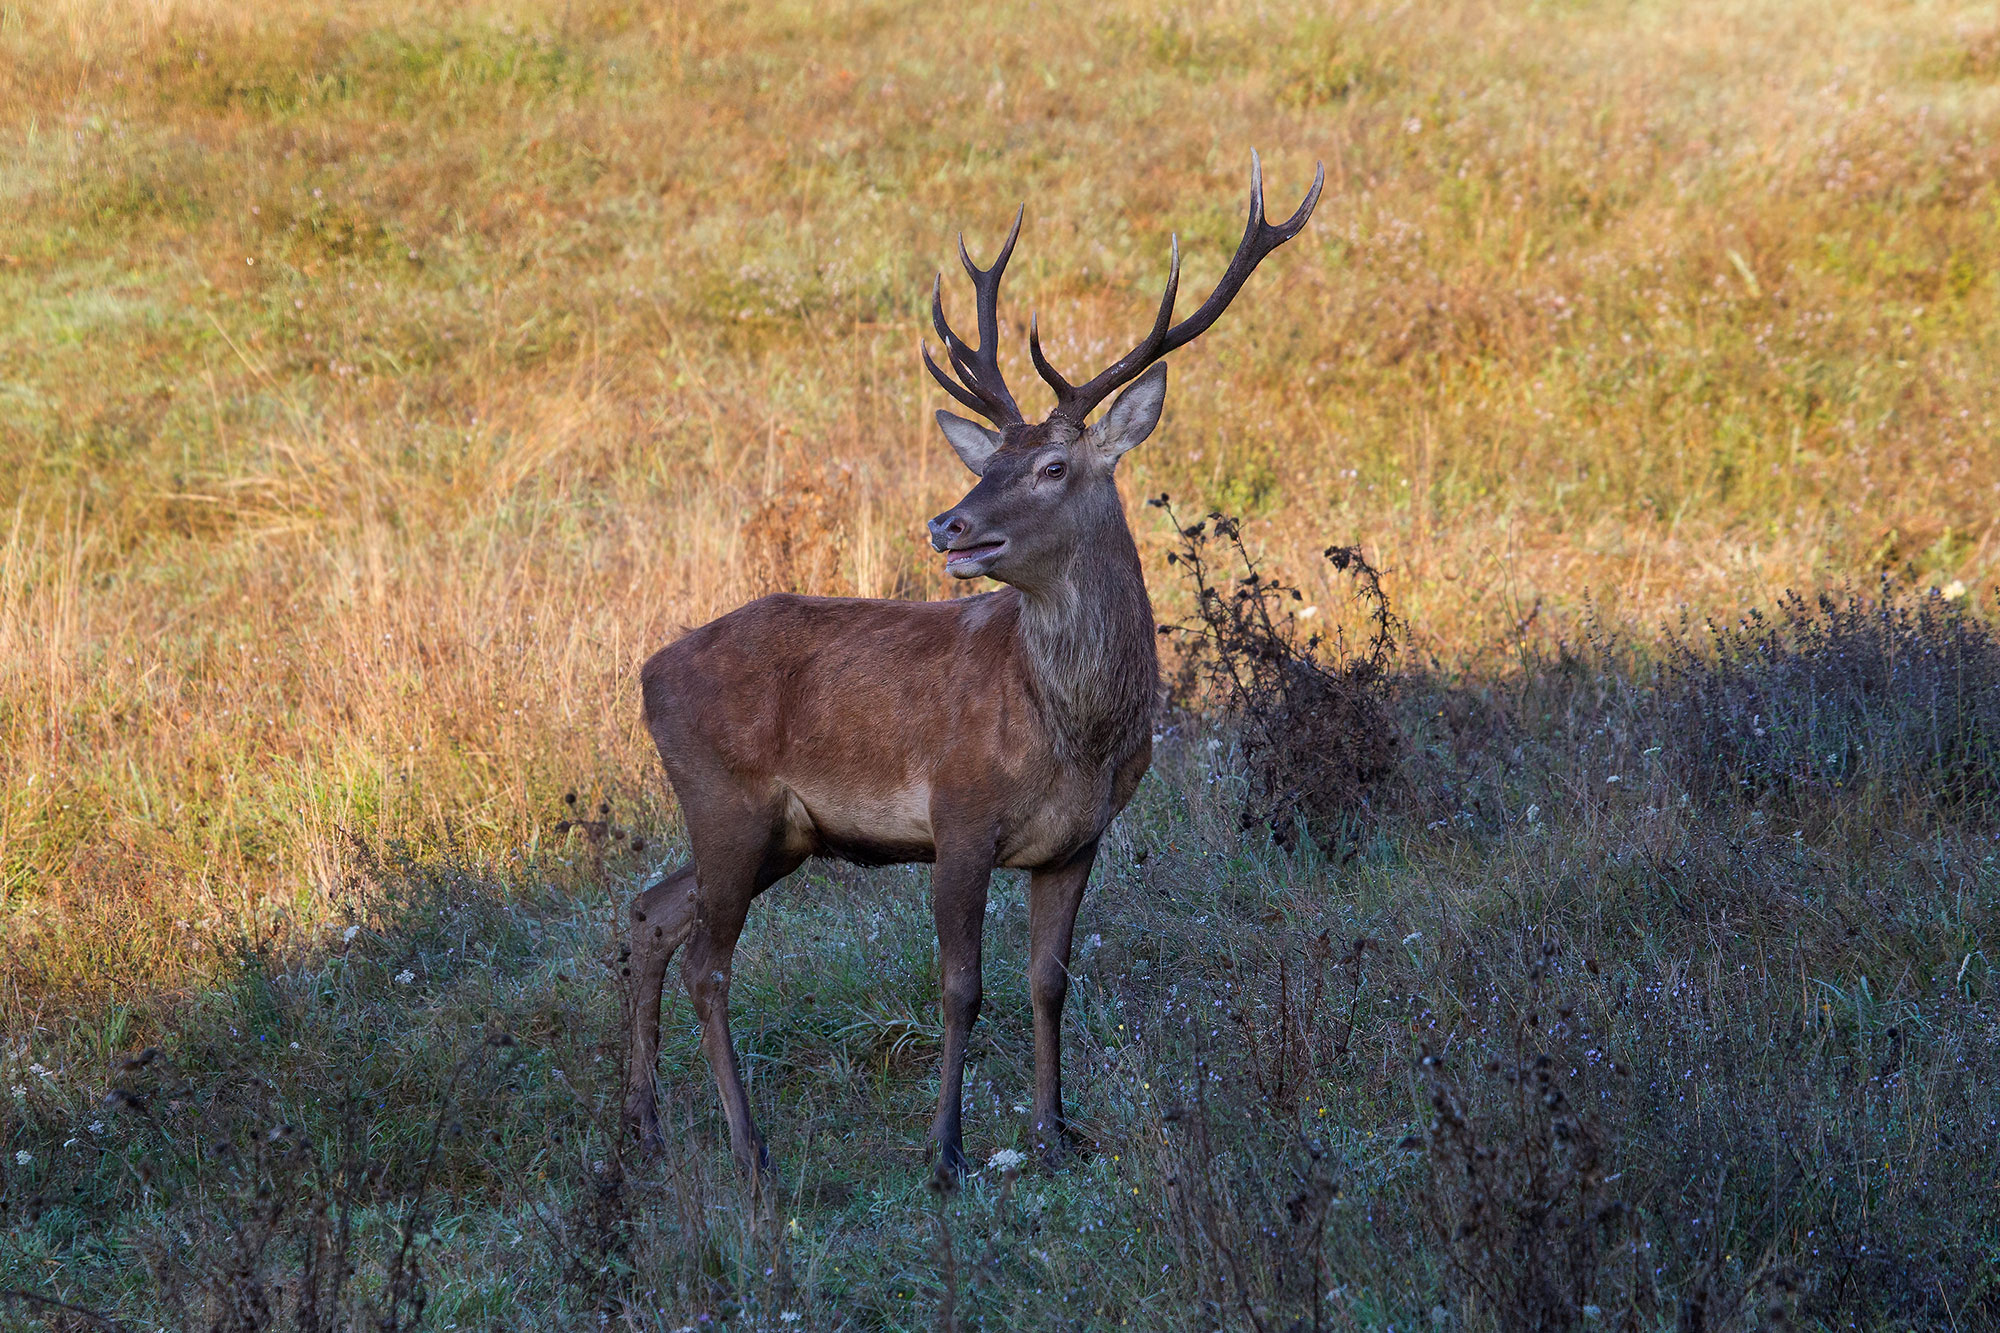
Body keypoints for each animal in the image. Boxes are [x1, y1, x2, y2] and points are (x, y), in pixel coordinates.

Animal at [624, 153, 1324, 1181]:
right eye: (986, 458)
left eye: (1051, 468)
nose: (947, 524)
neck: (1074, 732)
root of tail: (647, 673)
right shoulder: (957, 815)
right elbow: (961, 986)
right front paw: (947, 1148)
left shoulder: (1077, 840)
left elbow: (1048, 981)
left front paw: (1055, 1128)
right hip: (725, 798)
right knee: (708, 961)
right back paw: (748, 1148)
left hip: (778, 832)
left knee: (650, 912)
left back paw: (643, 1123)